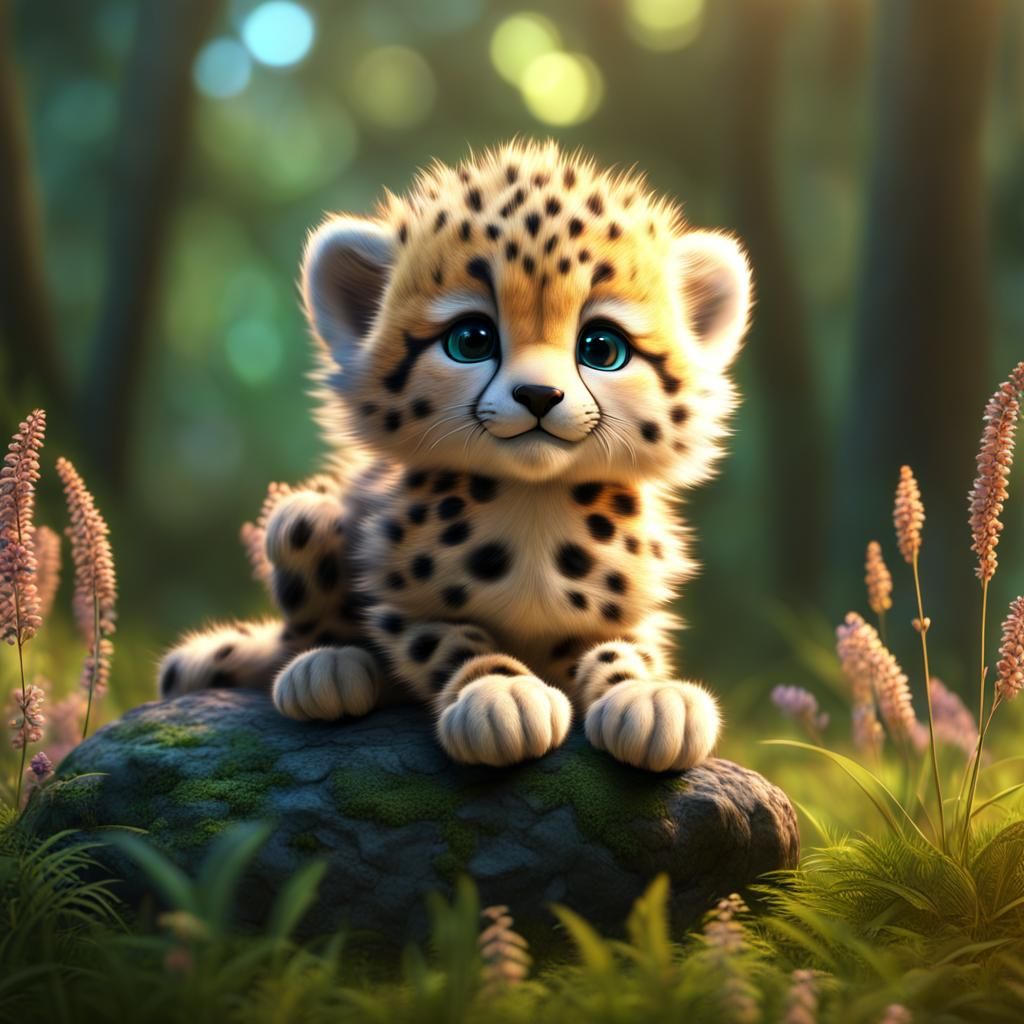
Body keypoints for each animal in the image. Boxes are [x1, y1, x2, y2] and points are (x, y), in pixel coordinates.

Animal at [158, 139, 753, 773]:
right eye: (471, 340)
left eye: (601, 348)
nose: (538, 394)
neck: (533, 508)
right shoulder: (403, 605)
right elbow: (450, 643)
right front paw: (501, 695)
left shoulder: (631, 607)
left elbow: (624, 650)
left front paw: (649, 697)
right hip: (302, 521)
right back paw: (326, 669)